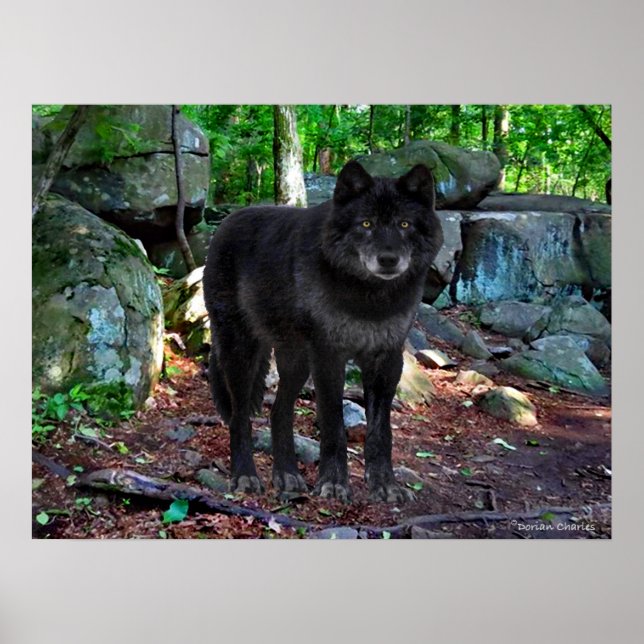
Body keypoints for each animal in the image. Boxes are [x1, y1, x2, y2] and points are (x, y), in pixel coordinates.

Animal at [203, 161, 443, 502]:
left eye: (405, 224)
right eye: (366, 223)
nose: (388, 260)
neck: (369, 300)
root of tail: (227, 221)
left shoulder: (386, 361)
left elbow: (381, 433)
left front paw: (385, 484)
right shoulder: (329, 357)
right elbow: (333, 425)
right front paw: (333, 483)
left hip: (296, 362)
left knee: (279, 413)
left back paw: (287, 475)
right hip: (242, 354)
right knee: (239, 418)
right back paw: (246, 475)